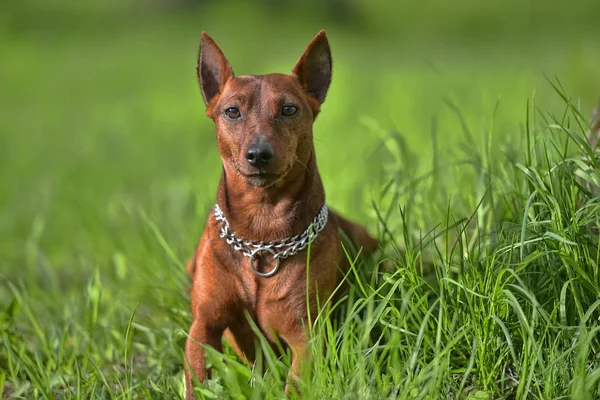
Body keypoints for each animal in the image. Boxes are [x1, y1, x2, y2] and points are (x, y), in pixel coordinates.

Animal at [185, 29, 378, 398]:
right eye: (232, 111)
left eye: (289, 109)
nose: (259, 154)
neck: (260, 234)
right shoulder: (204, 325)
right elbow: (198, 376)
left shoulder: (306, 336)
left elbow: (296, 384)